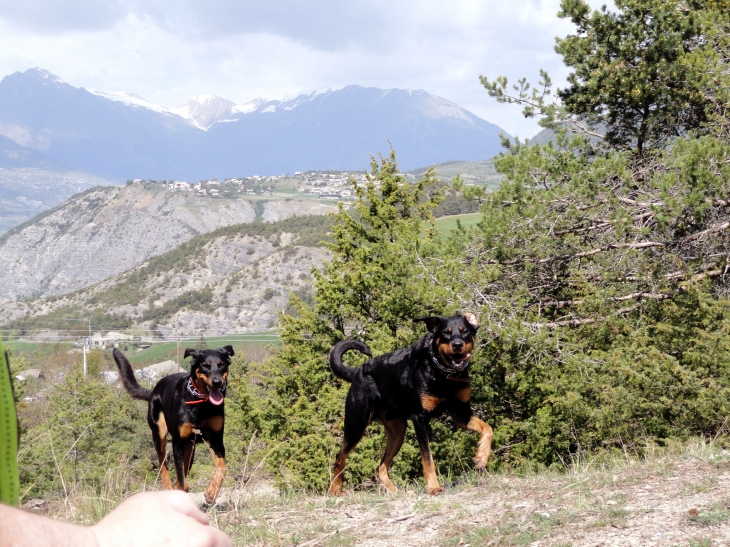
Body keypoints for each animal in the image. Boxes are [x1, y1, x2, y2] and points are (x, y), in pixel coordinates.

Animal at [111, 346, 233, 506]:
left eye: (221, 364)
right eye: (205, 366)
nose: (217, 382)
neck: (201, 403)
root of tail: (154, 390)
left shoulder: (216, 440)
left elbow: (222, 467)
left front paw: (212, 491)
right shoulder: (177, 443)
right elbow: (181, 480)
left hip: (189, 447)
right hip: (160, 435)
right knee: (163, 466)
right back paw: (168, 488)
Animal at [328, 312, 492, 496]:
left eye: (465, 332)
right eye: (446, 333)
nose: (457, 344)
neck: (442, 373)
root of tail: (357, 371)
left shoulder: (461, 413)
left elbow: (488, 429)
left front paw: (481, 457)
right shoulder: (419, 418)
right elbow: (427, 458)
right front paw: (433, 487)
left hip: (397, 431)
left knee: (381, 466)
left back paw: (395, 491)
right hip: (357, 423)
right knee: (340, 456)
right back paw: (335, 489)